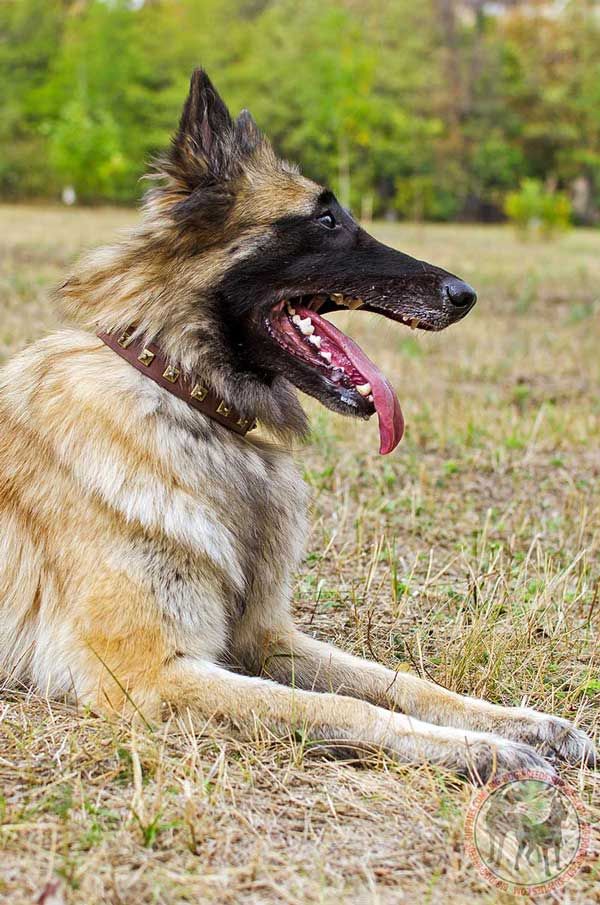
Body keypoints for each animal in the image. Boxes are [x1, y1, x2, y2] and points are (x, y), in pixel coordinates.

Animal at [1, 70, 596, 780]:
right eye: (326, 219)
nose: (464, 295)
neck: (184, 396)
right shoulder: (147, 673)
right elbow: (346, 707)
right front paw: (482, 750)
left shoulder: (265, 636)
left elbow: (398, 681)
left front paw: (521, 723)